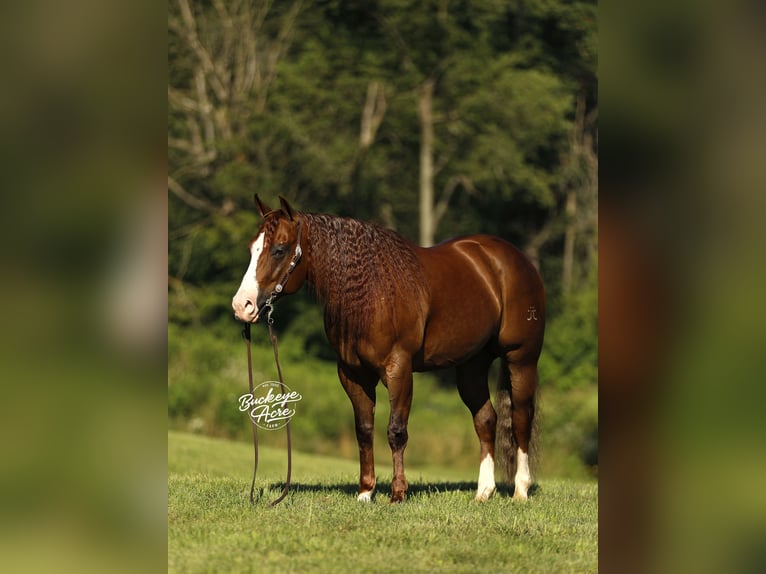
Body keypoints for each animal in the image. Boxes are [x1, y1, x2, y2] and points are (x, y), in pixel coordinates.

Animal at [232, 196, 546, 503]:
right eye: (251, 248)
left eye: (279, 249)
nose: (242, 306)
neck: (372, 293)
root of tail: (515, 260)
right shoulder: (353, 375)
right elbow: (363, 430)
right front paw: (365, 492)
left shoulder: (399, 370)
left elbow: (396, 431)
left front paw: (397, 493)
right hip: (472, 365)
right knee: (486, 419)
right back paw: (483, 492)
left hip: (522, 358)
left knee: (520, 418)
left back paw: (520, 490)